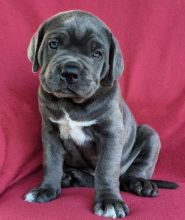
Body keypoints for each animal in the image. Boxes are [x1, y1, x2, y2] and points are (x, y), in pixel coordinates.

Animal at [24, 10, 178, 218]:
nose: (70, 72)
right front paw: (45, 189)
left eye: (96, 53)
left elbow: (106, 168)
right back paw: (71, 177)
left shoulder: (111, 132)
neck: (73, 103)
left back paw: (140, 184)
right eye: (53, 44)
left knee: (130, 171)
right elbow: (51, 162)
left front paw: (110, 201)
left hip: (149, 134)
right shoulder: (50, 131)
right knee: (91, 177)